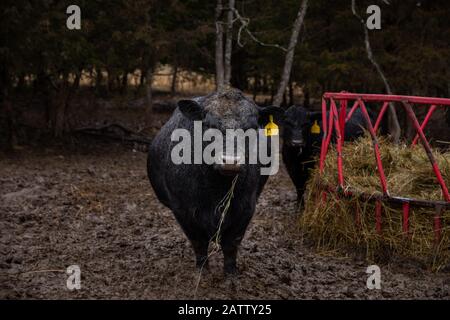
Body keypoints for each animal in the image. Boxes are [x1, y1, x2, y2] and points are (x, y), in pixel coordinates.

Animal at [147, 89, 282, 274]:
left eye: (252, 128)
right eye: (209, 126)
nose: (231, 161)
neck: (216, 189)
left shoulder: (246, 208)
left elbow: (231, 244)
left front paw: (230, 273)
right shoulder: (182, 210)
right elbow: (198, 242)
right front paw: (202, 270)